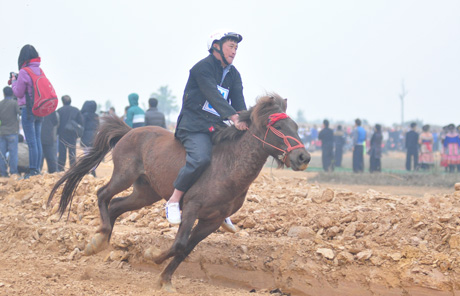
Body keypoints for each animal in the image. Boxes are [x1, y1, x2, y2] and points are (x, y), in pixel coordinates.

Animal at [48, 94, 310, 292]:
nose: (303, 157)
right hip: (124, 176)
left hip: (146, 193)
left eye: (297, 127)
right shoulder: (192, 208)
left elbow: (186, 249)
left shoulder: (212, 220)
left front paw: (164, 278)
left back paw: (101, 240)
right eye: (277, 126)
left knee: (115, 206)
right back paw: (100, 238)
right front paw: (151, 255)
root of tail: (130, 131)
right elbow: (179, 244)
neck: (228, 165)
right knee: (103, 194)